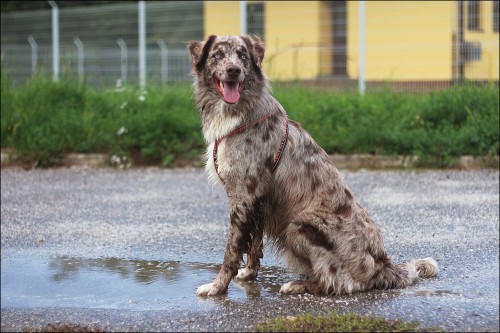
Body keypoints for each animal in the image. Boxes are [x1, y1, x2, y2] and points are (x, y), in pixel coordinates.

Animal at [187, 35, 438, 296]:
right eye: (217, 55)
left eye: (243, 55)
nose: (233, 70)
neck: (241, 113)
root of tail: (384, 266)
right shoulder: (258, 200)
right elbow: (254, 243)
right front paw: (248, 273)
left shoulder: (243, 196)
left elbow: (232, 249)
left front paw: (218, 286)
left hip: (299, 226)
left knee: (339, 281)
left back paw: (298, 284)